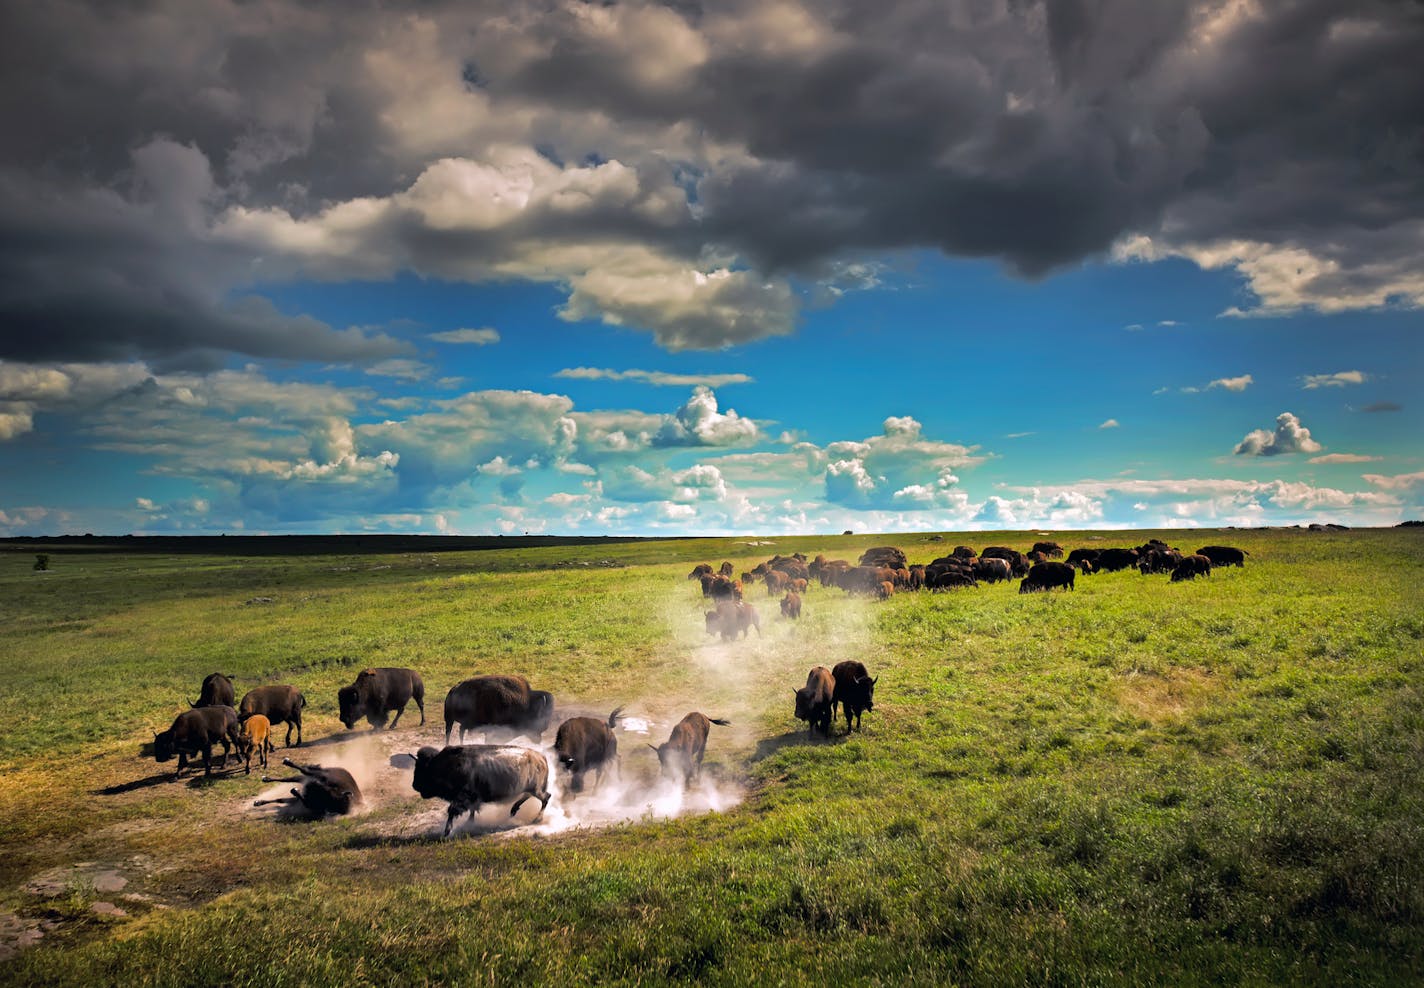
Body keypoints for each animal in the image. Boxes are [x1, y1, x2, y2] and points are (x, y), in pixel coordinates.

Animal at [412, 745, 549, 837]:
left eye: (423, 769)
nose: (414, 785)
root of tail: (541, 757)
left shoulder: (463, 797)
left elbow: (452, 811)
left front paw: (447, 832)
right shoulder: (472, 799)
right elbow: (471, 810)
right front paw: (469, 823)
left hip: (536, 789)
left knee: (545, 798)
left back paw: (537, 819)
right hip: (531, 789)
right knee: (530, 796)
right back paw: (514, 810)